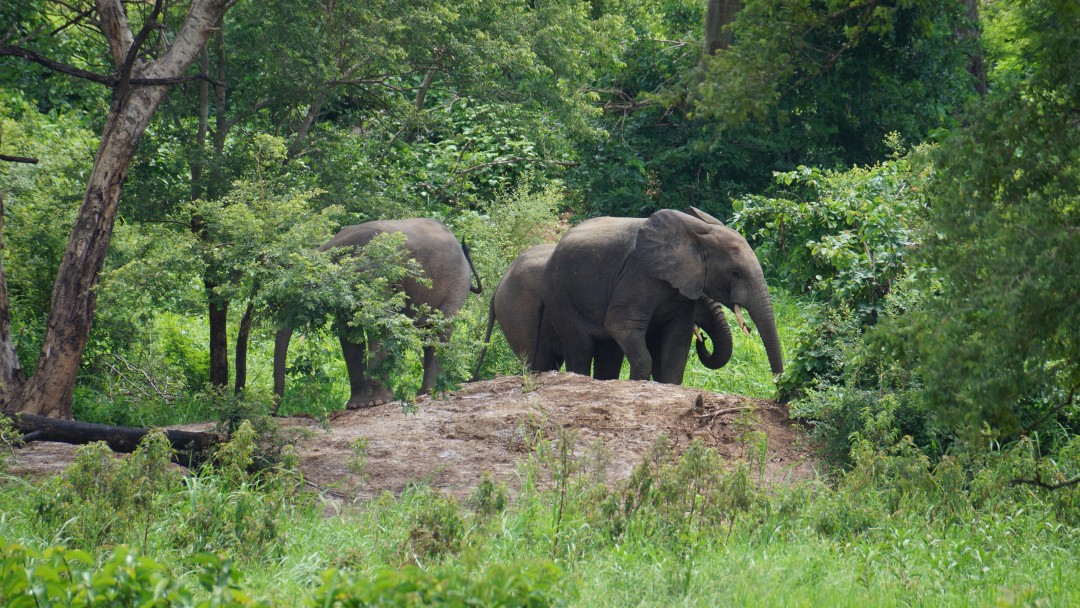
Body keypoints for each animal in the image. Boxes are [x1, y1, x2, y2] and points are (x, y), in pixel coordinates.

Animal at [274, 219, 481, 408]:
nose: (275, 413)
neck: (331, 246)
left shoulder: (379, 274)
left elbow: (380, 323)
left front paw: (377, 402)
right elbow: (348, 333)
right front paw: (356, 406)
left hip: (457, 281)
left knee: (441, 328)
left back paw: (429, 391)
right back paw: (424, 391)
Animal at [540, 207, 786, 382]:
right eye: (736, 273)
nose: (777, 381)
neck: (697, 233)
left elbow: (677, 342)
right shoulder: (639, 274)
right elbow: (621, 325)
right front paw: (638, 384)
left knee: (607, 350)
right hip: (560, 295)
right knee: (580, 347)